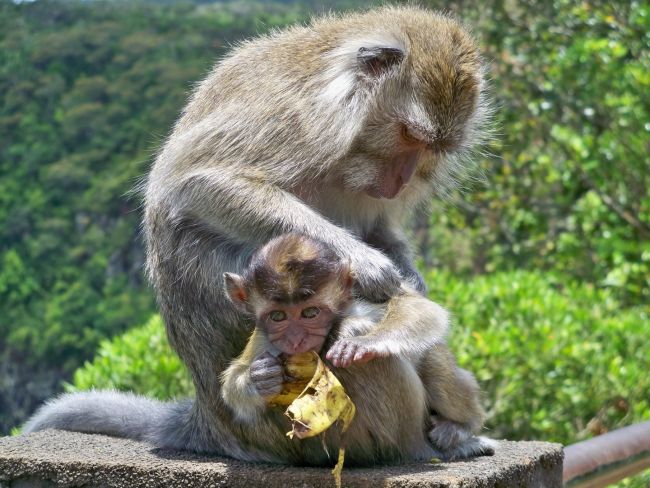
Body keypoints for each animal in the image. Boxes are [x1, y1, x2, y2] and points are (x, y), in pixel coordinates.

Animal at [219, 234, 492, 462]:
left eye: (310, 313)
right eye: (278, 316)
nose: (296, 339)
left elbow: (419, 309)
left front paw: (359, 337)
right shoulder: (264, 339)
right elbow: (234, 382)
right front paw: (261, 377)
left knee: (428, 356)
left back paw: (463, 426)